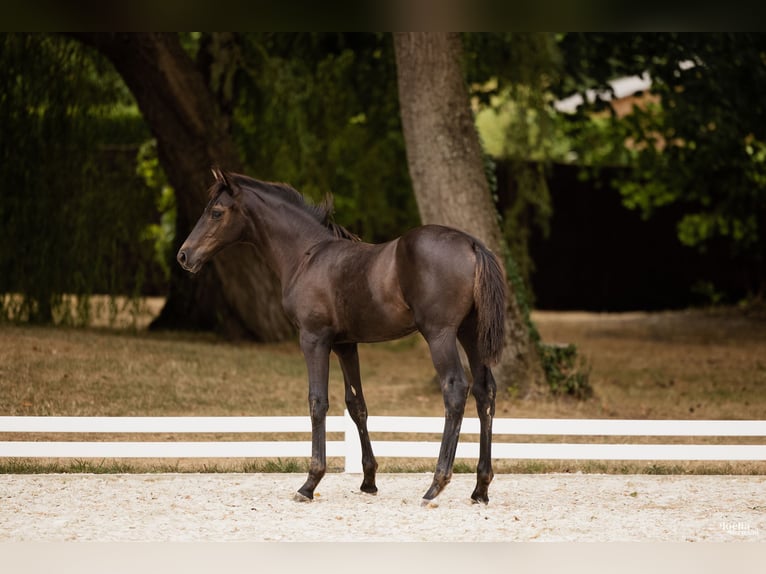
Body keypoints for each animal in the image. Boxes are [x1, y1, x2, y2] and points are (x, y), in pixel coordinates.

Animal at [177, 167, 507, 505]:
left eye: (216, 212)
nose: (184, 256)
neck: (306, 256)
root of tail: (471, 244)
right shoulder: (346, 345)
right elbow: (356, 404)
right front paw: (369, 480)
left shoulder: (314, 340)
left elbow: (317, 401)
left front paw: (310, 483)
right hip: (471, 334)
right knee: (485, 392)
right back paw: (480, 488)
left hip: (440, 335)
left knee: (455, 389)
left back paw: (435, 485)